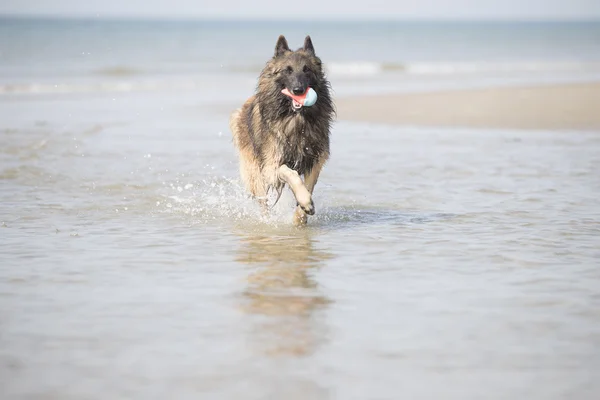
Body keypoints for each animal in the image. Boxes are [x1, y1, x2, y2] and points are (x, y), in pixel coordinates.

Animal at [230, 35, 336, 225]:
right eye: (288, 70)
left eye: (306, 70)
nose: (298, 90)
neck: (296, 119)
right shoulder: (271, 165)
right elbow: (290, 173)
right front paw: (305, 202)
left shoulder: (315, 160)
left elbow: (308, 186)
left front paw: (301, 215)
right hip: (255, 173)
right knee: (263, 203)